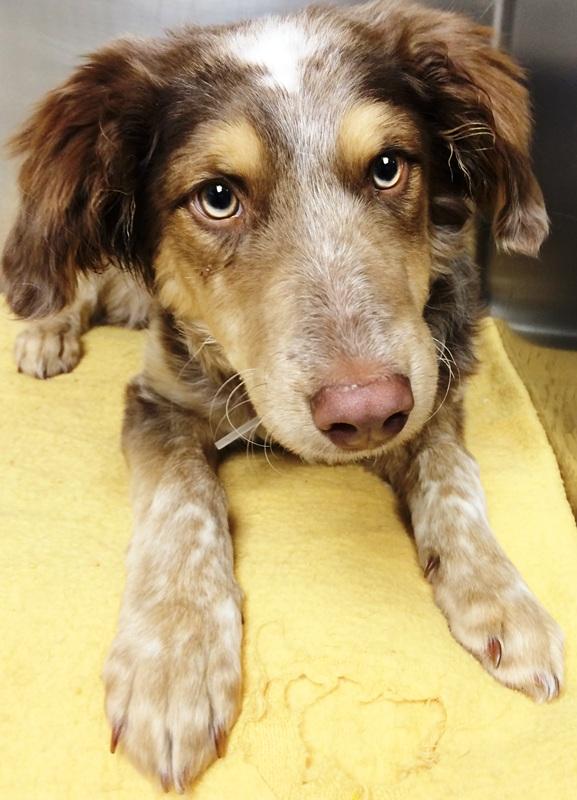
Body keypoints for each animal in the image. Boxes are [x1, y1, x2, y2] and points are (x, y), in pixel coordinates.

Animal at [1, 0, 564, 788]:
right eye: (217, 197)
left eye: (388, 168)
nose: (366, 413)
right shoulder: (156, 400)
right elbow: (185, 502)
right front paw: (174, 662)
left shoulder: (434, 383)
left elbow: (452, 480)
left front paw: (501, 598)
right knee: (73, 282)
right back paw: (46, 331)